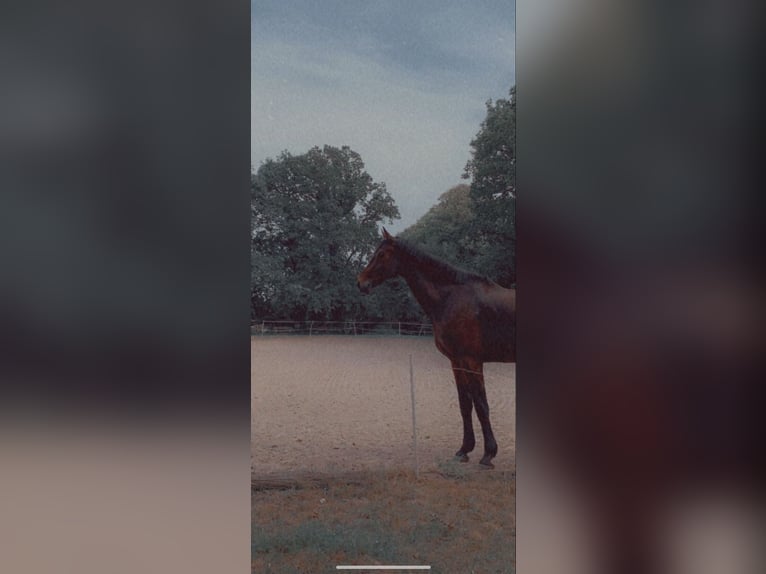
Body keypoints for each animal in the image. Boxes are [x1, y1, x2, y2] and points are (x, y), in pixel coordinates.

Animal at [358, 230, 516, 468]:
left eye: (382, 254)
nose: (361, 283)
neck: (451, 297)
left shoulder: (472, 361)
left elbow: (481, 405)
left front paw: (488, 454)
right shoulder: (456, 362)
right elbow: (465, 404)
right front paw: (464, 450)